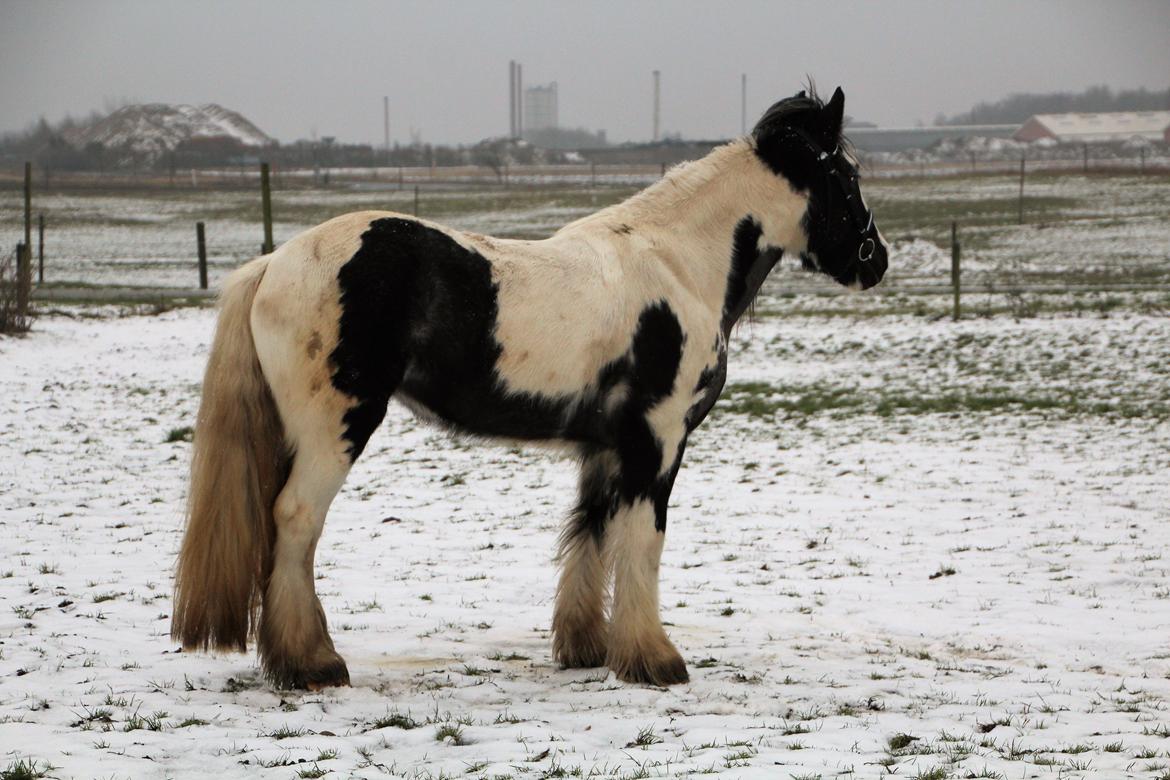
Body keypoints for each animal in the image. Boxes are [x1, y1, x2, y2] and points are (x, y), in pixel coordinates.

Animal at [170, 85, 884, 687]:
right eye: (844, 178)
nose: (876, 261)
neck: (677, 266)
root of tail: (273, 264)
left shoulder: (606, 446)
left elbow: (591, 531)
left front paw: (588, 648)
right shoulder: (657, 439)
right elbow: (643, 539)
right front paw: (654, 659)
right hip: (335, 429)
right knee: (295, 520)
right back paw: (312, 664)